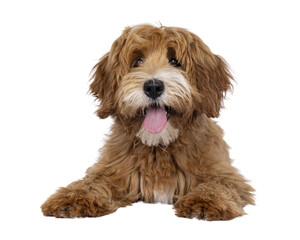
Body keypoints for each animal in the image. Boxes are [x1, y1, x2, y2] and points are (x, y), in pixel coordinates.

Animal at [41, 23, 254, 219]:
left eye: (175, 61)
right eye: (137, 61)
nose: (153, 87)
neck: (158, 147)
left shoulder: (226, 175)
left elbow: (218, 184)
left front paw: (205, 201)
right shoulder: (113, 171)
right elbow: (92, 182)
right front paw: (72, 198)